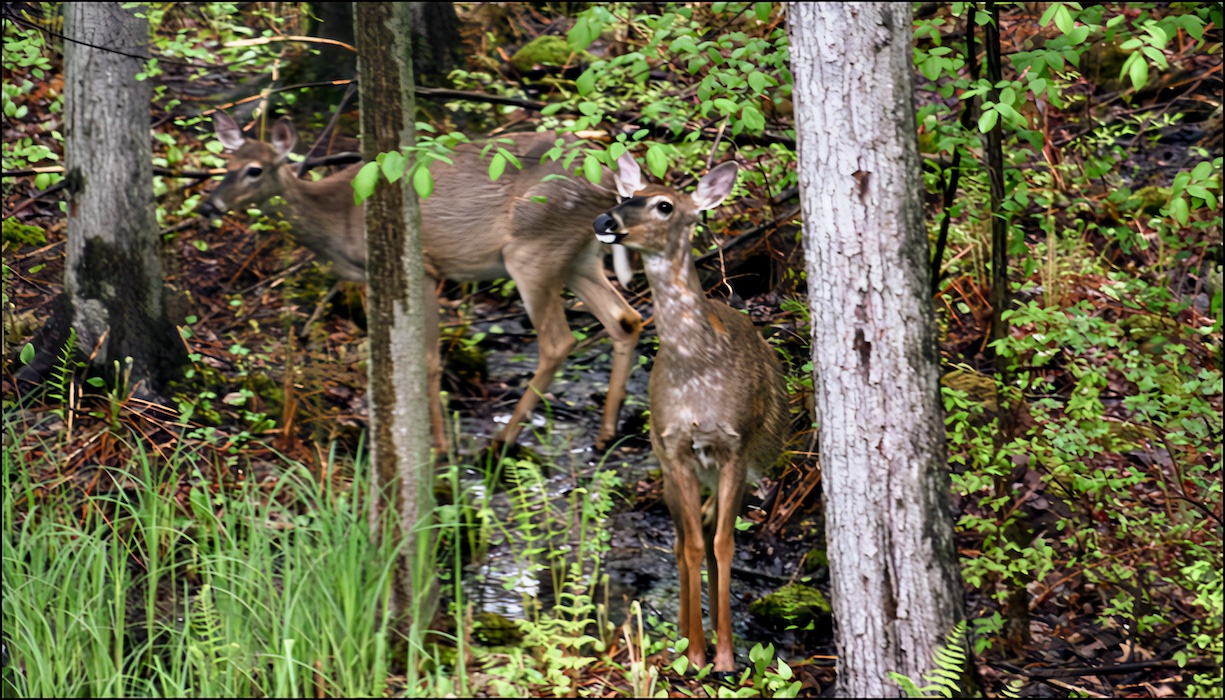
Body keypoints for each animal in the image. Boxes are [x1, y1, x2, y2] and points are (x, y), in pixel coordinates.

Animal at [193, 108, 641, 448]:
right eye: (225, 165)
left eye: (254, 170)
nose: (208, 206)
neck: (339, 222)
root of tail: (608, 181)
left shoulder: (423, 267)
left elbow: (427, 360)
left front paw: (439, 447)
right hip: (577, 255)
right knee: (625, 319)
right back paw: (604, 433)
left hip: (533, 247)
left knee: (559, 341)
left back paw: (502, 440)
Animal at [590, 154, 784, 671]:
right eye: (625, 196)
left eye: (664, 205)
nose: (606, 221)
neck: (698, 372)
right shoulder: (674, 445)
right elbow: (695, 545)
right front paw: (696, 652)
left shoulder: (737, 444)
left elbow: (724, 544)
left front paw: (726, 654)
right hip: (665, 463)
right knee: (680, 542)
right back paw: (682, 632)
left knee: (711, 528)